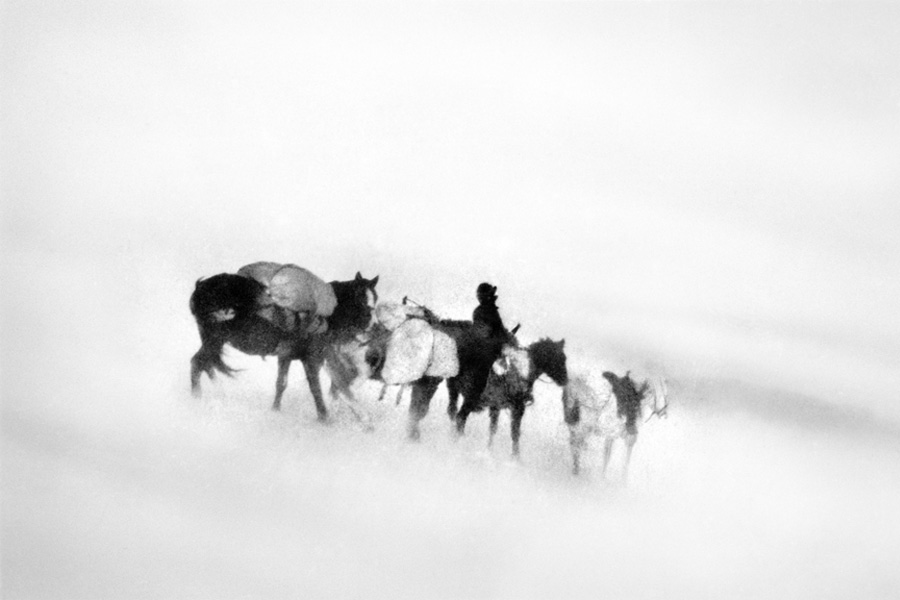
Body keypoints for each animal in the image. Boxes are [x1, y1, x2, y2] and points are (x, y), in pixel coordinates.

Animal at [189, 269, 379, 420]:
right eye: (360, 299)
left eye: (375, 299)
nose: (374, 326)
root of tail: (200, 287)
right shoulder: (312, 358)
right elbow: (315, 388)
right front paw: (324, 417)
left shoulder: (286, 356)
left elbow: (281, 383)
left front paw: (275, 410)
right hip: (215, 340)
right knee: (198, 363)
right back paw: (196, 399)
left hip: (213, 342)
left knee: (204, 364)